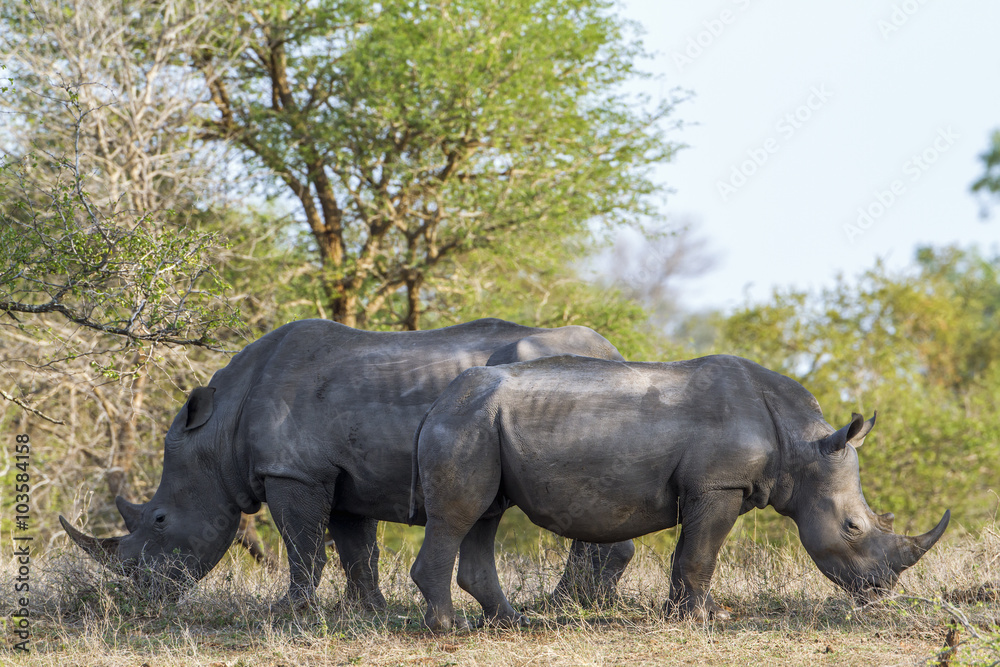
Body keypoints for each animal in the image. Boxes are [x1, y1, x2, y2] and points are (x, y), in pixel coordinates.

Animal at [60, 318, 635, 609]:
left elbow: (303, 548)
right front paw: (369, 612)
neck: (218, 432)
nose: (142, 596)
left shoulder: (294, 471)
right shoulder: (339, 476)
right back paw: (582, 602)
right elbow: (356, 549)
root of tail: (619, 354)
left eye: (159, 520)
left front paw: (289, 613)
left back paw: (563, 605)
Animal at [409, 354, 951, 631]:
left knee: (486, 516)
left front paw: (692, 614)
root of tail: (436, 402)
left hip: (479, 421)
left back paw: (511, 623)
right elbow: (701, 553)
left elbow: (688, 553)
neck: (801, 444)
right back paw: (449, 630)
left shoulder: (707, 488)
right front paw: (699, 621)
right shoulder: (719, 484)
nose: (882, 592)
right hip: (467, 421)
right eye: (853, 527)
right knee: (460, 517)